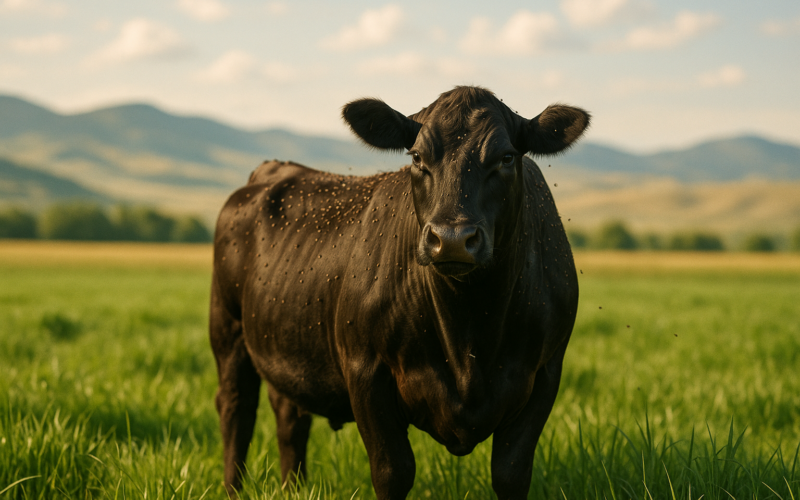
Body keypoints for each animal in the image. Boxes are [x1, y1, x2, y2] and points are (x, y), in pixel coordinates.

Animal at [210, 86, 589, 499]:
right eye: (418, 157)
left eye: (506, 157)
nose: (452, 239)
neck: (468, 334)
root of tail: (278, 167)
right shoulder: (365, 370)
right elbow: (393, 472)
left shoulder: (545, 372)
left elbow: (511, 473)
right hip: (228, 331)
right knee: (236, 411)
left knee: (289, 415)